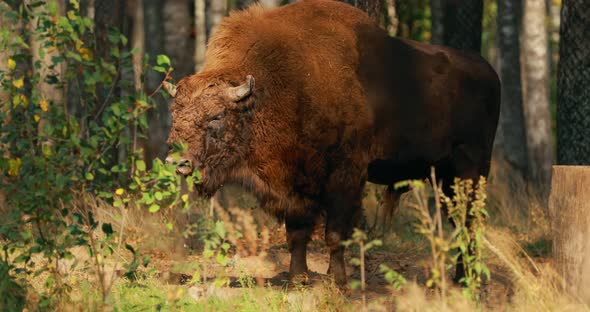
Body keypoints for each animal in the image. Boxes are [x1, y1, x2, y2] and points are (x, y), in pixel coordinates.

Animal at [164, 0, 502, 286]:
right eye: (174, 113)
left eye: (217, 115)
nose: (175, 162)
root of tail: (489, 72)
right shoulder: (296, 184)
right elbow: (297, 233)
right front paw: (297, 277)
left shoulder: (346, 174)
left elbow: (335, 232)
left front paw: (338, 280)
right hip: (445, 177)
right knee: (460, 222)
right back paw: (461, 277)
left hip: (472, 170)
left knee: (470, 221)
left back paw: (467, 279)